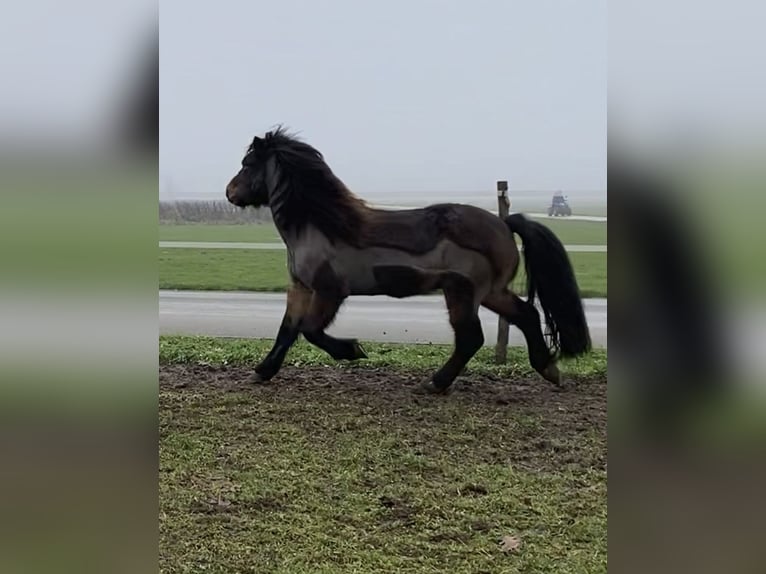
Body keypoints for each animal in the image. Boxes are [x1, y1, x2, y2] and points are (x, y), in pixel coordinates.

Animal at [225, 127, 591, 394]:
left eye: (247, 164)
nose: (230, 192)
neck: (318, 226)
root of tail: (504, 223)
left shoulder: (330, 291)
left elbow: (310, 330)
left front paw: (353, 350)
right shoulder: (300, 288)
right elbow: (287, 330)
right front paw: (262, 372)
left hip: (463, 291)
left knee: (471, 338)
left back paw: (434, 383)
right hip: (490, 292)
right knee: (526, 316)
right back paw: (549, 370)